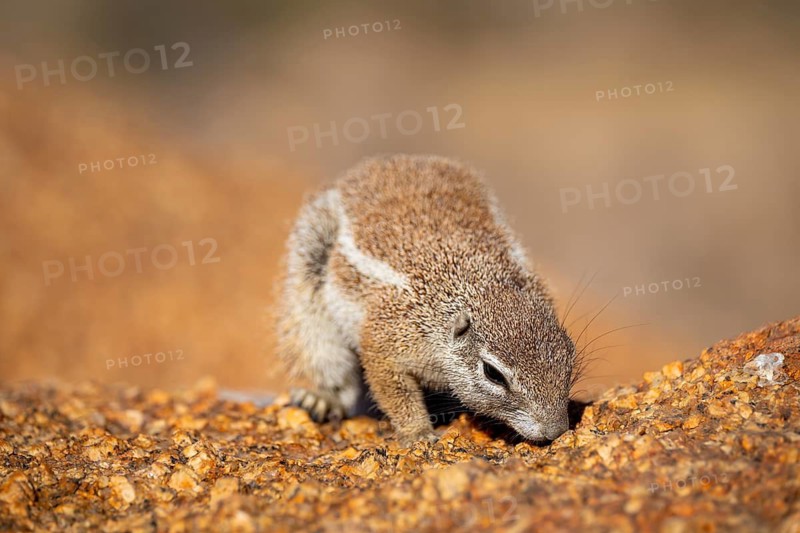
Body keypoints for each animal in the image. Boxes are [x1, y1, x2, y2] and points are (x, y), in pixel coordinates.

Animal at [277, 154, 576, 445]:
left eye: (569, 354)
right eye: (493, 373)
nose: (556, 430)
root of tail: (392, 160)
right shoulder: (389, 339)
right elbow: (395, 392)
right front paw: (418, 433)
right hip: (309, 269)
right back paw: (322, 398)